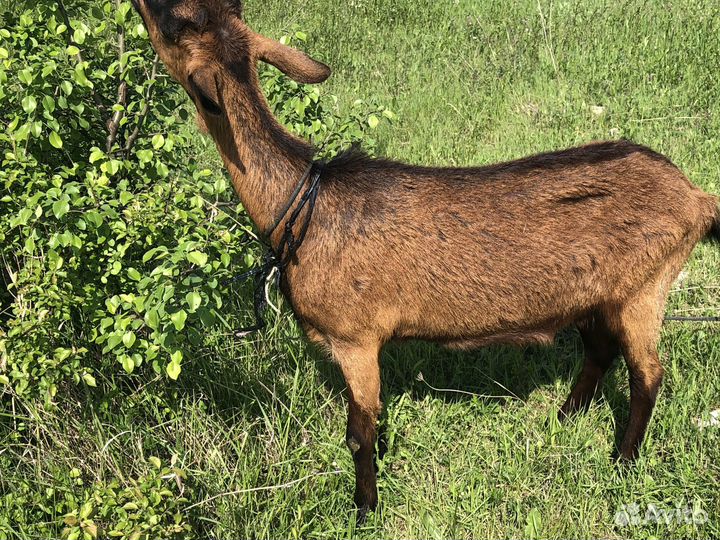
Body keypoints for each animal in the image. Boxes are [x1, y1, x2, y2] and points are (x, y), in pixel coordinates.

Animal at [131, 0, 720, 519]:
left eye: (176, 23)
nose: (143, 0)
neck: (305, 203)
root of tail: (696, 197)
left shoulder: (355, 338)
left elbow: (358, 433)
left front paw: (364, 509)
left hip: (646, 286)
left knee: (648, 373)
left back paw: (623, 458)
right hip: (599, 292)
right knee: (600, 349)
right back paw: (565, 415)